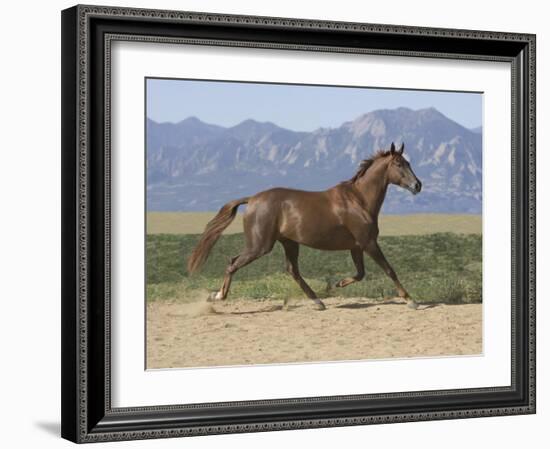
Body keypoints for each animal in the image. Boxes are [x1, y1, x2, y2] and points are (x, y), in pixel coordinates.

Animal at [188, 142, 424, 310]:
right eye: (399, 164)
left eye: (409, 163)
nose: (417, 185)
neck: (359, 200)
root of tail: (253, 199)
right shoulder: (368, 243)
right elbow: (389, 269)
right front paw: (410, 301)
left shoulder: (356, 246)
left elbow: (360, 273)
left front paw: (337, 284)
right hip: (260, 245)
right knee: (233, 263)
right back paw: (218, 296)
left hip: (289, 243)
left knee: (292, 270)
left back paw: (318, 302)